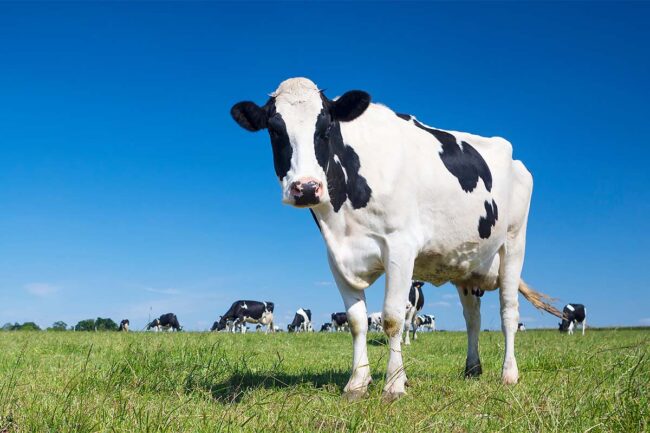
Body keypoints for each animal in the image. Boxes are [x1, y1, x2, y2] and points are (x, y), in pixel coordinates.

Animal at [230, 77, 560, 398]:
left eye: (326, 129)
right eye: (275, 130)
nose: (307, 188)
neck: (343, 219)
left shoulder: (401, 247)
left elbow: (391, 318)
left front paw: (394, 385)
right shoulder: (336, 258)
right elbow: (357, 321)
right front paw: (357, 383)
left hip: (514, 243)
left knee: (508, 312)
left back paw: (509, 374)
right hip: (466, 266)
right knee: (472, 318)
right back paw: (472, 369)